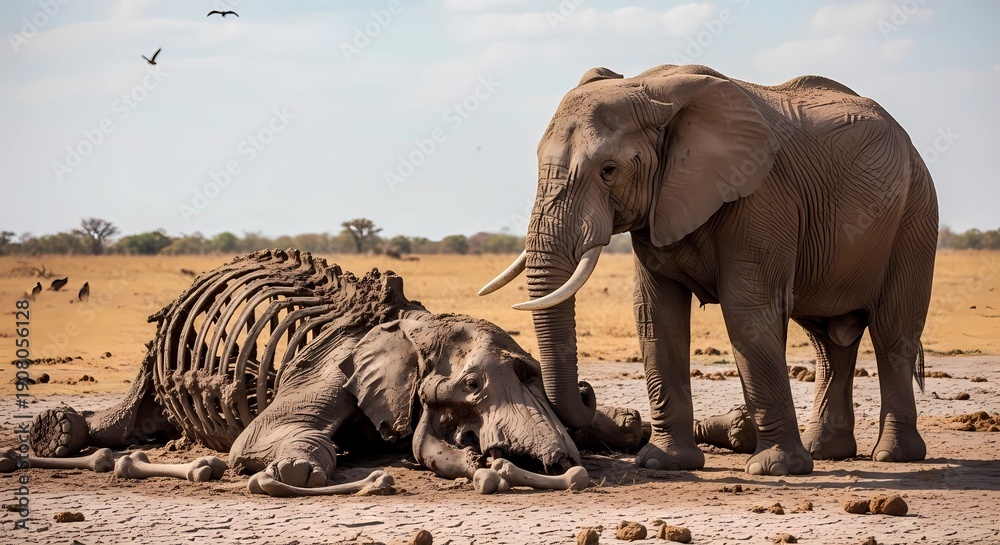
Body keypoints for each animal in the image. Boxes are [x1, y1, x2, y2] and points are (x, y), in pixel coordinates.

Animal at [481, 64, 938, 476]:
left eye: (608, 171)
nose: (586, 390)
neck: (650, 88)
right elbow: (656, 314)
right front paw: (664, 464)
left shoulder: (762, 197)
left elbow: (747, 310)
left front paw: (775, 469)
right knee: (829, 342)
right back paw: (827, 452)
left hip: (915, 213)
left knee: (892, 330)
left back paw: (892, 456)